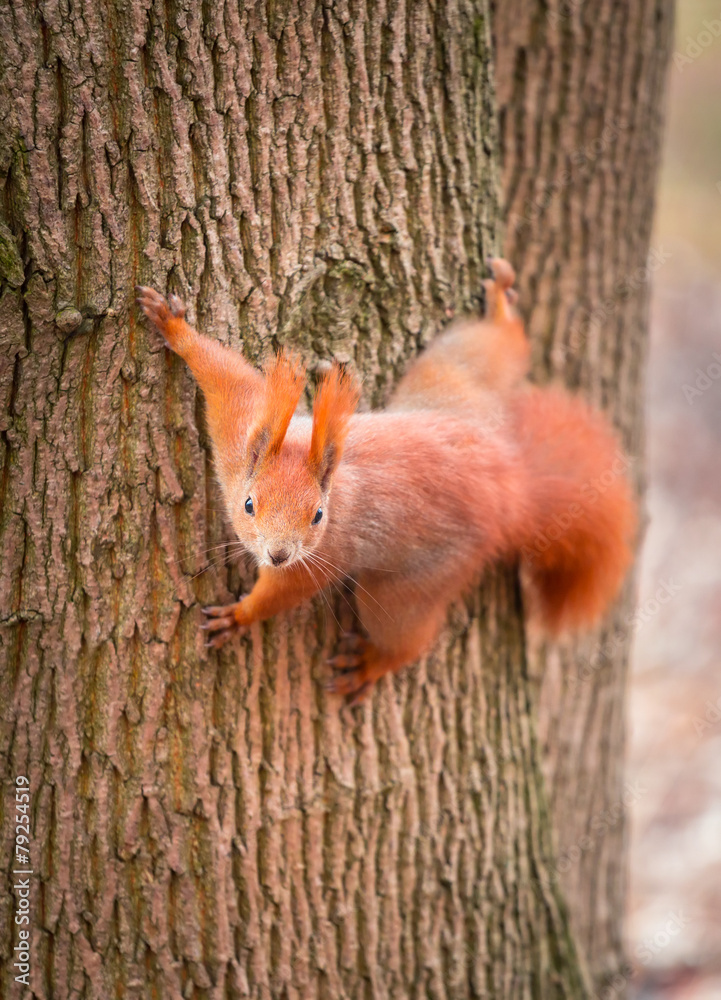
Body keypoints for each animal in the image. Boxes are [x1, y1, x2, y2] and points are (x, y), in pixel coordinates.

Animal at [136, 262, 636, 708]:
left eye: (318, 516)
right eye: (249, 505)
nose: (278, 554)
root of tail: (507, 485)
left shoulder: (323, 554)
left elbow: (283, 592)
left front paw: (240, 616)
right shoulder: (238, 436)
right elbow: (226, 376)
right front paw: (173, 325)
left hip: (406, 588)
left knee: (406, 639)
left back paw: (371, 665)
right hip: (450, 382)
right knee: (497, 349)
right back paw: (501, 308)